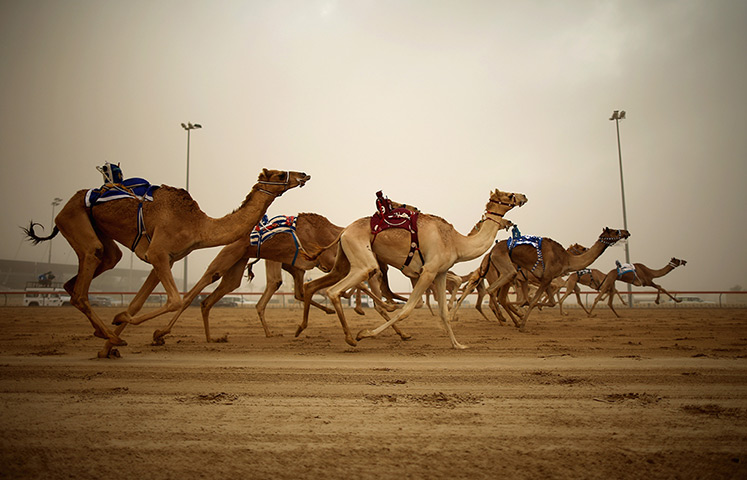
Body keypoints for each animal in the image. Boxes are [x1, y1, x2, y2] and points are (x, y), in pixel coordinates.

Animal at [22, 169, 310, 356]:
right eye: (279, 174)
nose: (303, 175)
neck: (198, 224)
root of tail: (67, 203)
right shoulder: (158, 253)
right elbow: (175, 300)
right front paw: (129, 327)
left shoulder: (166, 260)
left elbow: (138, 303)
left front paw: (110, 345)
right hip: (73, 218)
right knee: (83, 286)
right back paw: (112, 334)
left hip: (99, 235)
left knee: (87, 275)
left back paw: (107, 335)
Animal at [296, 188, 528, 348]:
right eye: (509, 195)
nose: (523, 196)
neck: (456, 242)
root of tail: (344, 231)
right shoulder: (428, 271)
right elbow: (408, 309)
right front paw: (366, 333)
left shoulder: (440, 273)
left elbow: (443, 312)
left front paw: (458, 344)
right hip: (363, 261)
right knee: (335, 290)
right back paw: (352, 337)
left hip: (343, 261)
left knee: (317, 286)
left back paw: (304, 328)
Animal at [456, 229, 632, 330]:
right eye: (614, 232)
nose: (626, 232)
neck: (565, 259)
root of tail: (490, 253)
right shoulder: (545, 277)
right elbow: (533, 300)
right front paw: (523, 323)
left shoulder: (543, 279)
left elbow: (546, 301)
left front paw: (523, 316)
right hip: (506, 272)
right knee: (493, 293)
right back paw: (504, 319)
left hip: (506, 275)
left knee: (500, 297)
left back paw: (509, 319)